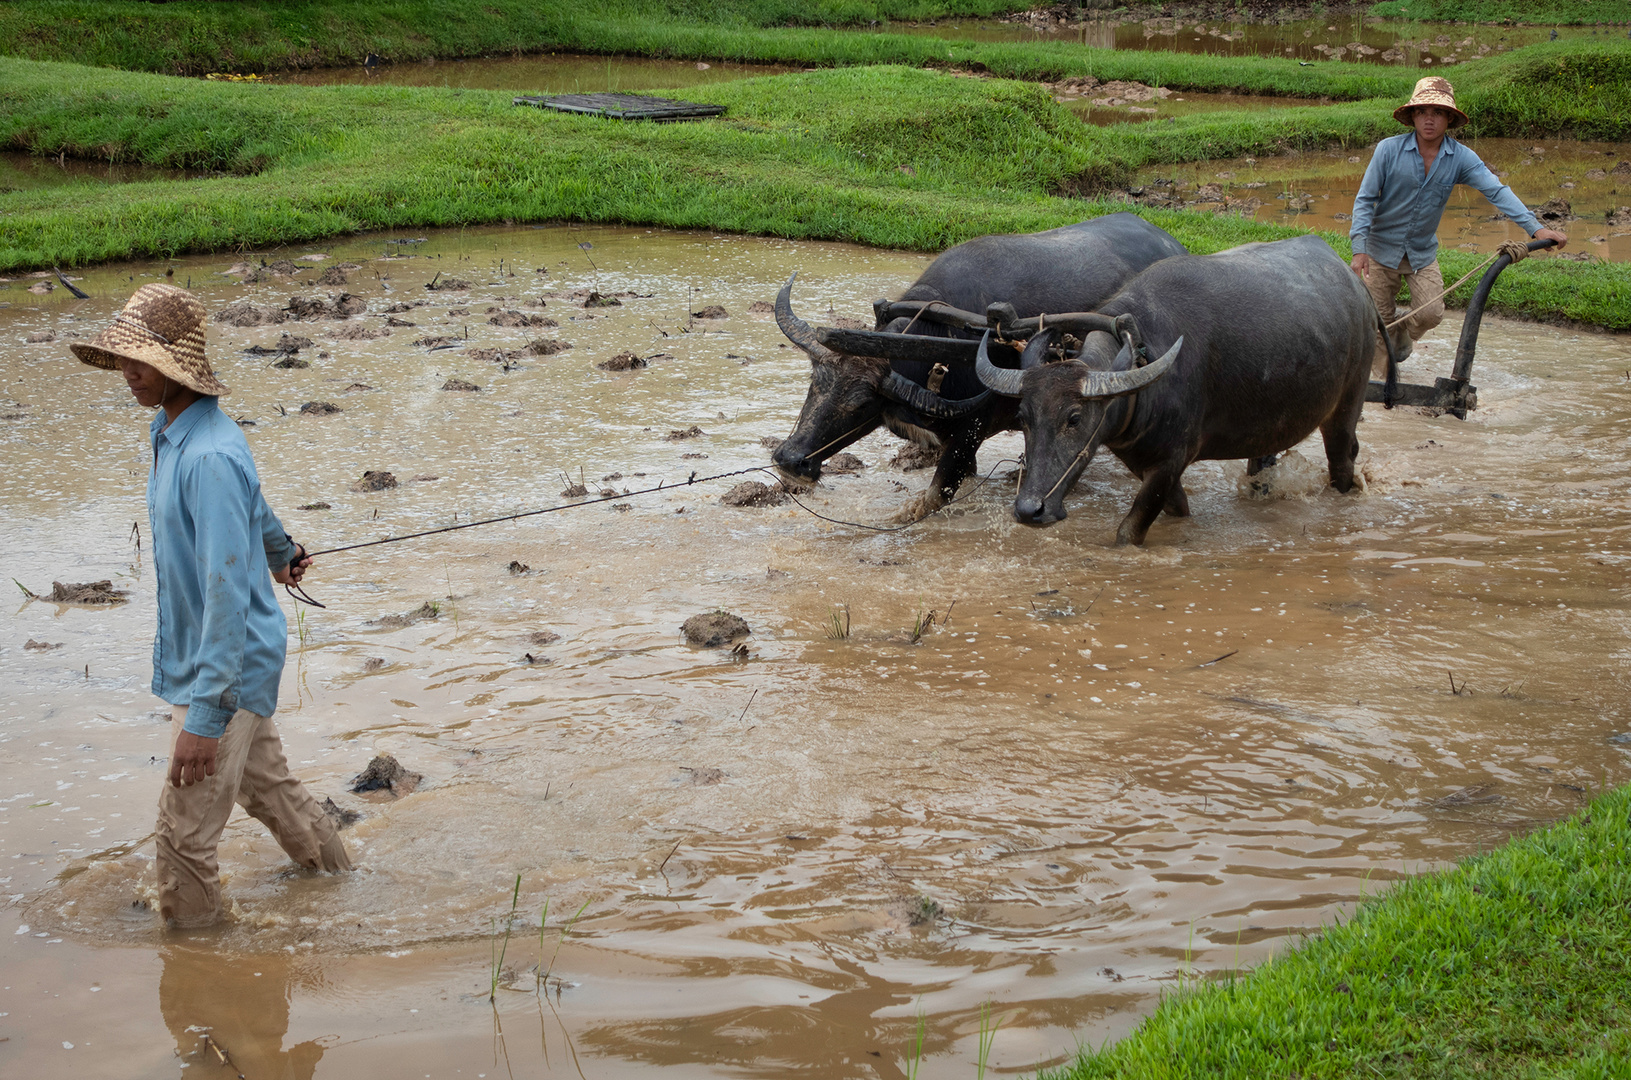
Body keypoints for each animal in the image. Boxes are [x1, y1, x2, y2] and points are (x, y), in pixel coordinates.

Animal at [769, 212, 1180, 525]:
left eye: (860, 404)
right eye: (815, 385)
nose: (791, 460)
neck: (945, 341)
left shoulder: (971, 429)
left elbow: (935, 495)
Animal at [972, 233, 1383, 544]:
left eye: (1074, 418)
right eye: (1023, 417)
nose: (1030, 510)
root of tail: (1358, 288)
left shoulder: (1172, 460)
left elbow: (1129, 530)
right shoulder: (1146, 463)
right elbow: (1177, 508)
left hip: (1347, 405)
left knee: (1342, 463)